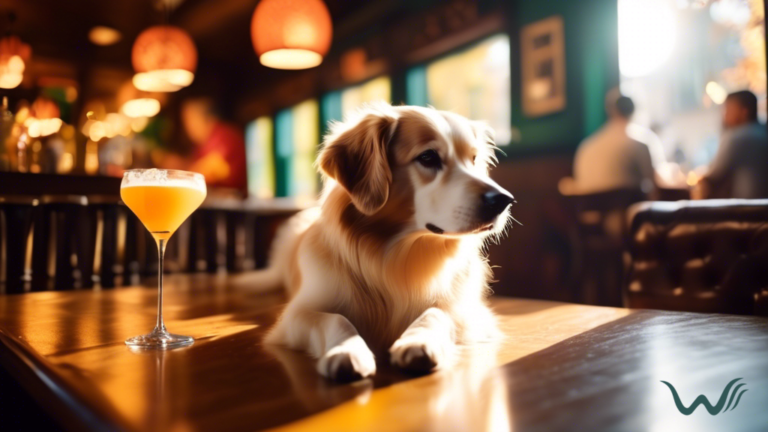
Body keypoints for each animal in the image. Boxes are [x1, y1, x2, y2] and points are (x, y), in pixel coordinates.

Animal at [252, 104, 516, 382]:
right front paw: (347, 350)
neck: (397, 254)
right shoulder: (296, 315)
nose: (504, 200)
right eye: (428, 157)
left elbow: (435, 312)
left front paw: (419, 341)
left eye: (473, 159)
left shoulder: (468, 311)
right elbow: (335, 319)